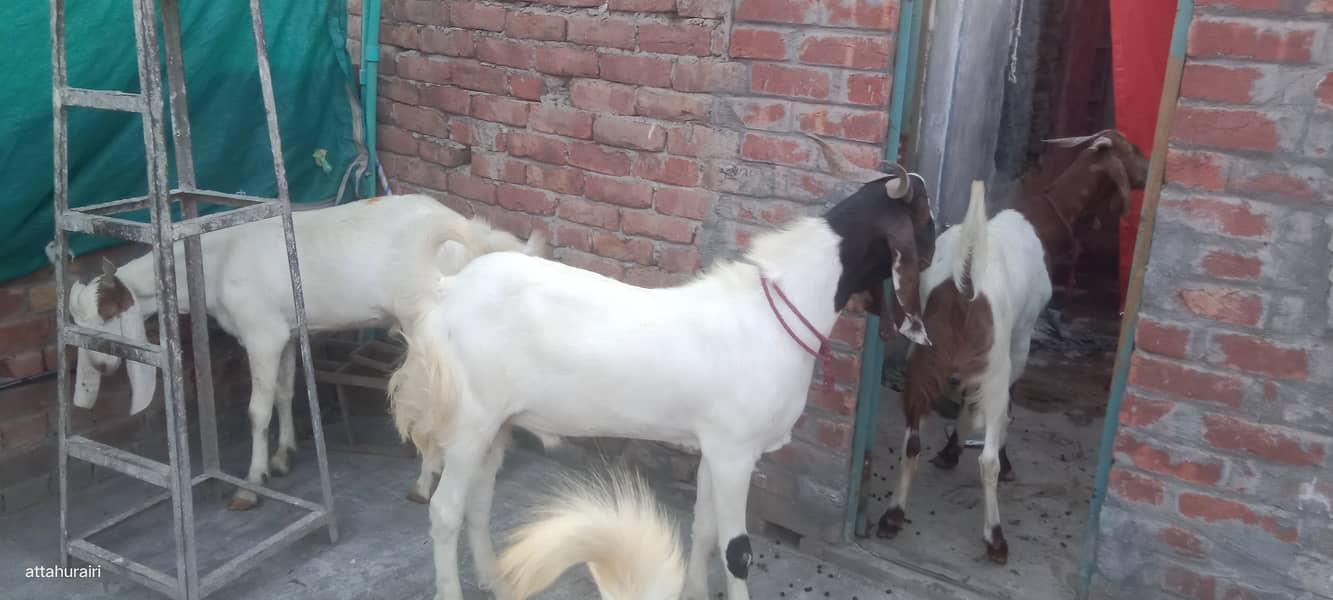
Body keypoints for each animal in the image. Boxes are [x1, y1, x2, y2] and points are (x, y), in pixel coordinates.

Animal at [67, 194, 546, 510]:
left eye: (102, 319)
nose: (100, 365)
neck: (213, 263)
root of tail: (471, 231)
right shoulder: (284, 332)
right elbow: (283, 392)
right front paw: (282, 456)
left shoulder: (261, 332)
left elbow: (257, 410)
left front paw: (251, 483)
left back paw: (425, 482)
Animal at [873, 181, 1052, 565]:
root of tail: (966, 278)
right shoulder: (1019, 345)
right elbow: (1003, 413)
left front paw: (950, 450)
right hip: (995, 367)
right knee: (986, 459)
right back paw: (995, 539)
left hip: (921, 365)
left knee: (911, 443)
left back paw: (893, 515)